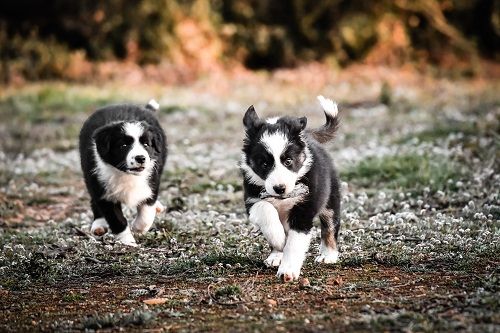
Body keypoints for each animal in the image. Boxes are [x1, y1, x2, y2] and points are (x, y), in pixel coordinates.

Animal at [78, 100, 168, 245]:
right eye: (123, 146)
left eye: (146, 144)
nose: (141, 158)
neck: (126, 175)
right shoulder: (103, 191)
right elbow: (117, 220)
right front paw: (128, 242)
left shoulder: (152, 180)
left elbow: (147, 208)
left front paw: (138, 228)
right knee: (94, 200)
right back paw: (99, 225)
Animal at [240, 95, 342, 280]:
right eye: (264, 164)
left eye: (288, 161)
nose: (279, 188)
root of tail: (308, 134)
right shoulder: (252, 198)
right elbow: (265, 210)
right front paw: (279, 241)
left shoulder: (304, 209)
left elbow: (294, 243)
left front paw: (287, 271)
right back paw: (275, 255)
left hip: (331, 199)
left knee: (330, 226)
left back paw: (328, 255)